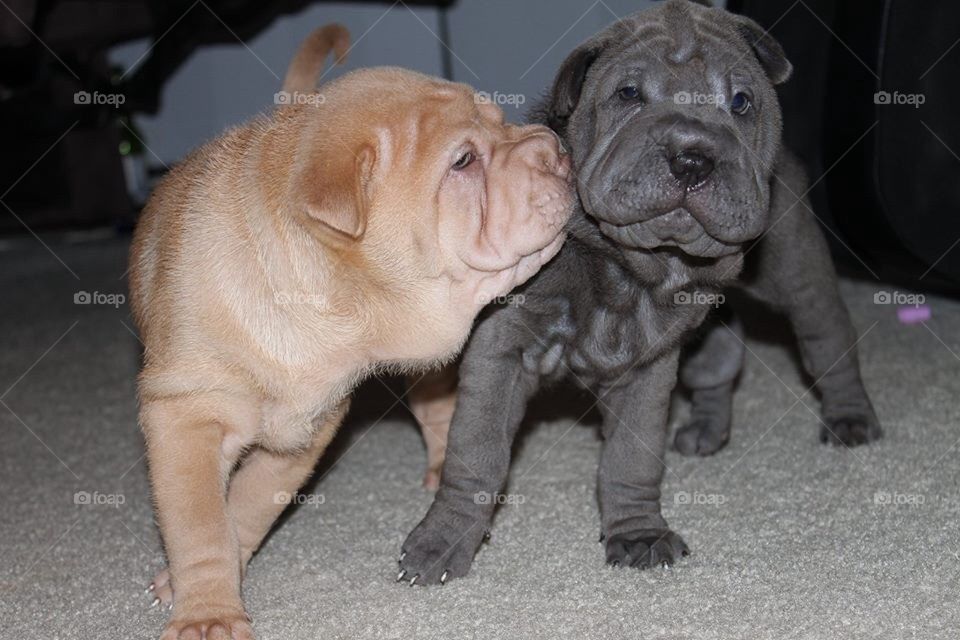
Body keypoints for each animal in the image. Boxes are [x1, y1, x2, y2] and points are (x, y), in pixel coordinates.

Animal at [396, 0, 876, 584]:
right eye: (628, 94)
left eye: (741, 102)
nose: (692, 158)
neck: (633, 267)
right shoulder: (503, 349)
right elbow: (477, 451)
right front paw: (441, 543)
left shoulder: (649, 368)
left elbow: (631, 456)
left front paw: (637, 533)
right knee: (722, 355)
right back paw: (706, 429)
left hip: (795, 270)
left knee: (827, 337)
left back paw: (851, 418)